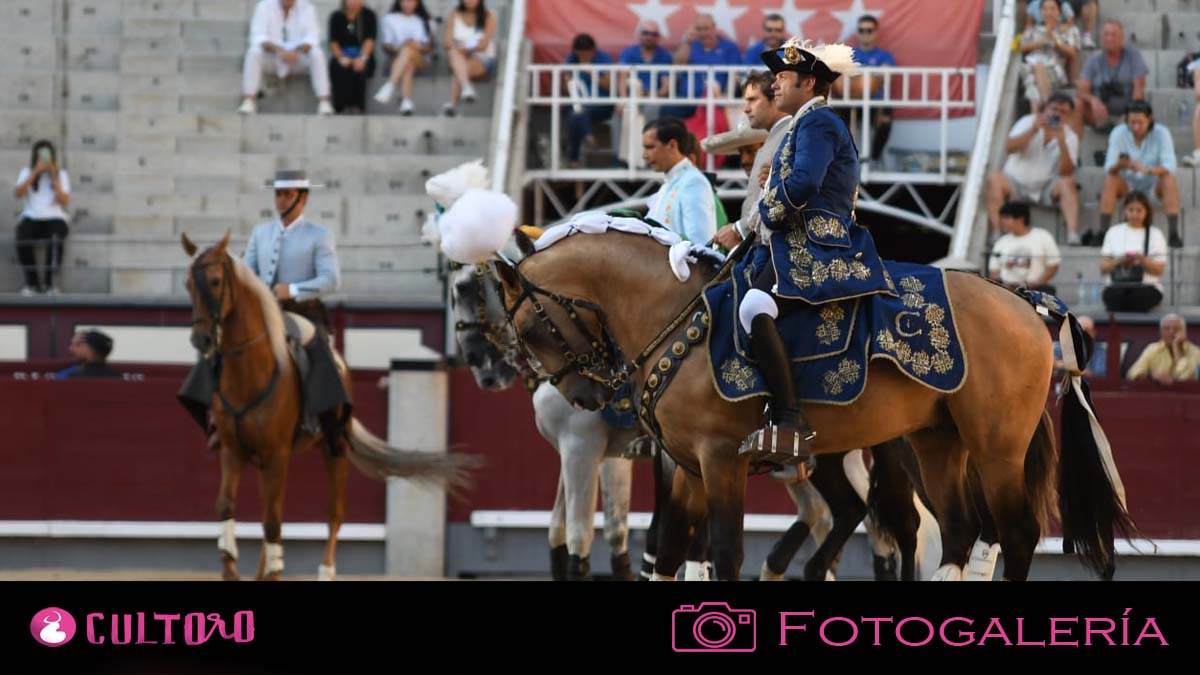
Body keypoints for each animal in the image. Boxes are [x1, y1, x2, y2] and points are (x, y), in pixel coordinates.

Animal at [182, 233, 472, 578]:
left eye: (215, 281)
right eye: (187, 284)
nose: (201, 340)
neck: (248, 372)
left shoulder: (276, 454)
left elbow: (273, 520)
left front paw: (274, 573)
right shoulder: (232, 450)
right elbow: (228, 507)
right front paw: (232, 569)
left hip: (334, 448)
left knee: (331, 513)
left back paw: (324, 571)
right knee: (274, 513)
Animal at [492, 225, 1128, 578]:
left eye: (531, 328)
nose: (584, 395)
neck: (674, 314)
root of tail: (1023, 299)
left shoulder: (720, 460)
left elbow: (724, 551)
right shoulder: (688, 467)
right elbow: (670, 552)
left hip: (996, 447)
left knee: (1012, 534)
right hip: (936, 443)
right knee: (958, 531)